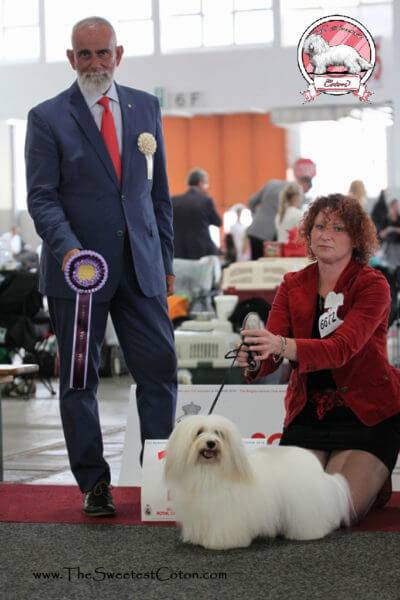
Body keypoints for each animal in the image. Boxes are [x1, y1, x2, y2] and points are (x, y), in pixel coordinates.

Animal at [164, 418, 352, 548]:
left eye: (219, 433)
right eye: (199, 432)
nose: (211, 443)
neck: (209, 471)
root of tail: (315, 464)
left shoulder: (227, 513)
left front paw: (221, 543)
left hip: (304, 505)